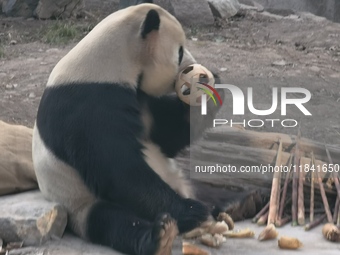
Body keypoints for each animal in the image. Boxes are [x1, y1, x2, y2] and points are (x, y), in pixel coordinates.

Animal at [31, 1, 223, 255]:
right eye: (180, 51)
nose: (191, 66)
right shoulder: (89, 107)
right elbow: (119, 169)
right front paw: (191, 211)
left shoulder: (140, 98)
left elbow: (167, 136)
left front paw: (212, 85)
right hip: (77, 202)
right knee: (111, 221)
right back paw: (161, 234)